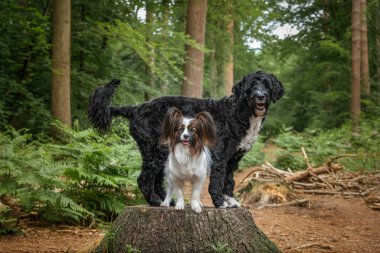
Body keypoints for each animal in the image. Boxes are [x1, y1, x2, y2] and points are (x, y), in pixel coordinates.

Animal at [87, 71, 284, 208]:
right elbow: (217, 181)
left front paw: (230, 200)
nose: (260, 96)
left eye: (267, 85)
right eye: (251, 86)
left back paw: (167, 202)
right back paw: (155, 202)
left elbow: (229, 182)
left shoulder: (233, 159)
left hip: (160, 153)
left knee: (157, 180)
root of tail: (136, 108)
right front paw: (220, 203)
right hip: (155, 150)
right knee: (144, 179)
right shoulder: (220, 156)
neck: (239, 112)